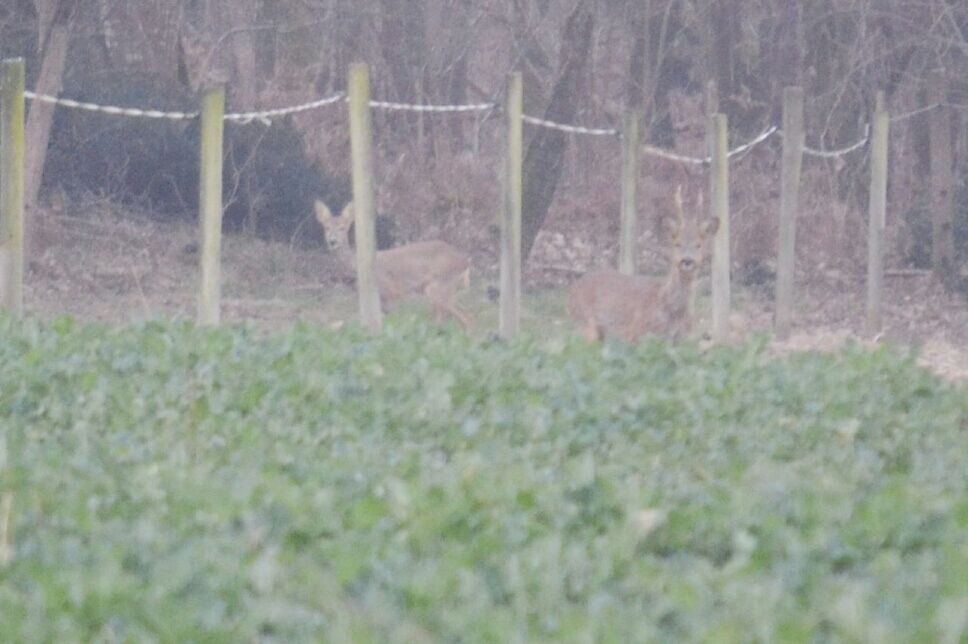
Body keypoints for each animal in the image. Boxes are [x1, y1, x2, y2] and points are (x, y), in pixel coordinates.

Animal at [314, 200, 472, 332]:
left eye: (342, 228)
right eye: (326, 228)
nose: (332, 241)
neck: (357, 265)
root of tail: (464, 261)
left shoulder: (389, 293)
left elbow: (393, 322)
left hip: (439, 286)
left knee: (464, 316)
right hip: (444, 290)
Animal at [568, 186, 720, 344]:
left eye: (699, 245)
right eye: (677, 244)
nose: (687, 260)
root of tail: (572, 292)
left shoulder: (680, 340)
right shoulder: (637, 335)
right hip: (585, 324)